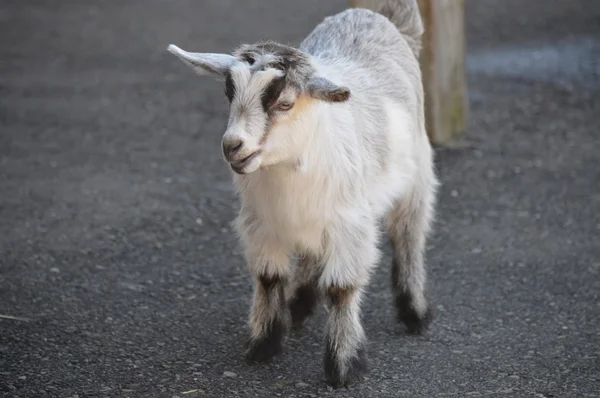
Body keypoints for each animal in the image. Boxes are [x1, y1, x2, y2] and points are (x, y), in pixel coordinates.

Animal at [166, 0, 438, 388]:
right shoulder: (260, 222)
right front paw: (263, 345)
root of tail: (375, 15)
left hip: (417, 175)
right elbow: (268, 277)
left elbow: (341, 288)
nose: (233, 146)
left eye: (284, 103)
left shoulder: (350, 224)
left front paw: (344, 366)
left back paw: (414, 312)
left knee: (409, 233)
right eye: (228, 93)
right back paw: (297, 304)